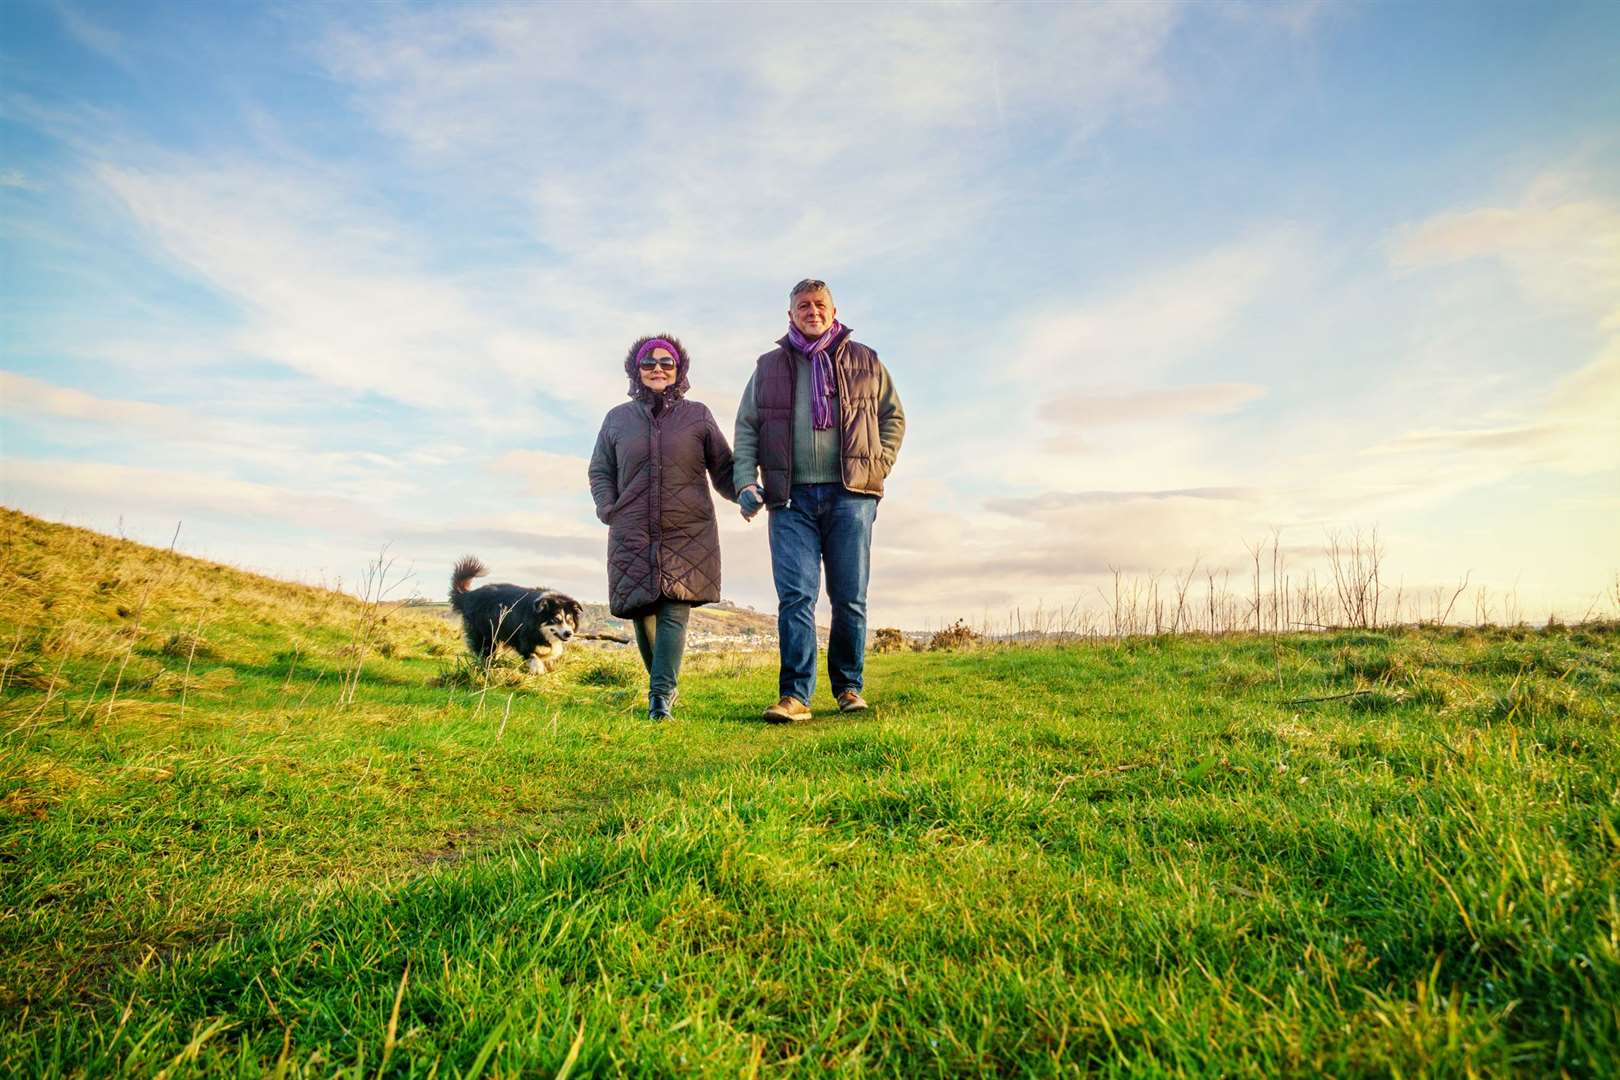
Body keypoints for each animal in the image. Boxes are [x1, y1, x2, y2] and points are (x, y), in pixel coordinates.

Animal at [447, 563, 586, 670]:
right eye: (555, 619)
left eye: (569, 621)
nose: (568, 633)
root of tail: (468, 595)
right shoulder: (524, 636)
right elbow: (532, 654)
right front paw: (538, 669)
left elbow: (549, 654)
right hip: (486, 632)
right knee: (486, 650)